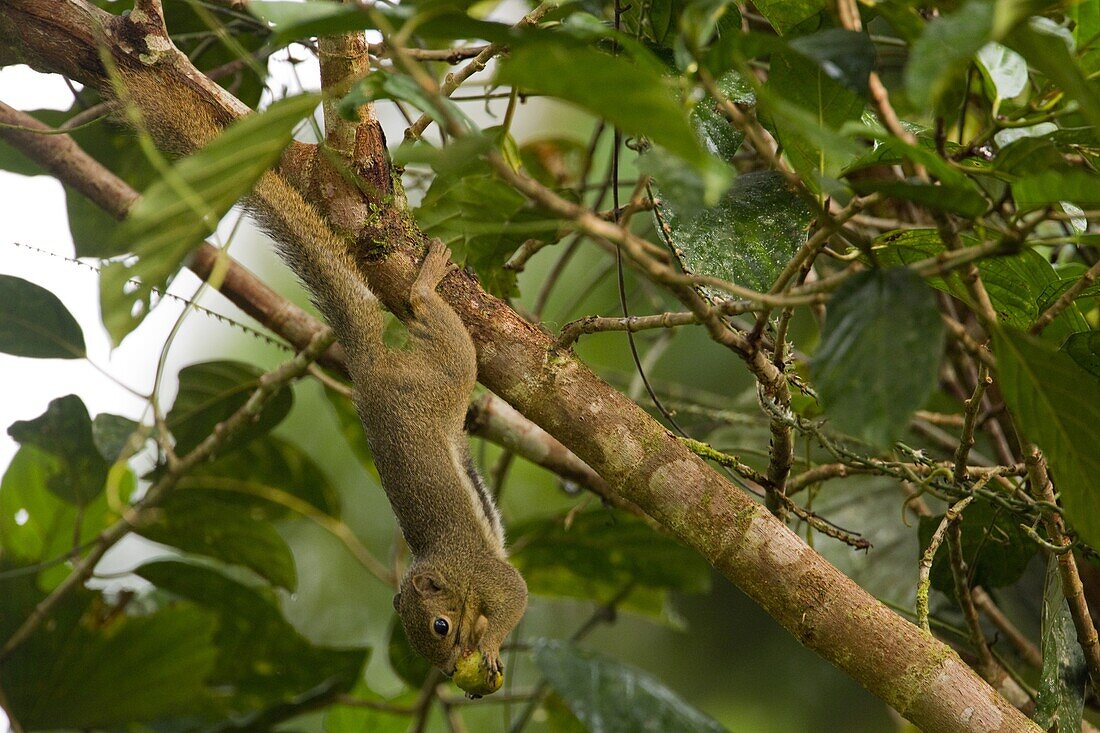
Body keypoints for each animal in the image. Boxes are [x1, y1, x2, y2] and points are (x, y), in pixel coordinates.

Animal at [118, 67, 530, 691]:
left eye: (439, 627)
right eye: (427, 640)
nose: (446, 664)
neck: (447, 570)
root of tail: (368, 370)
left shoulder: (488, 577)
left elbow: (515, 595)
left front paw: (485, 644)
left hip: (446, 370)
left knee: (424, 310)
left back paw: (427, 274)